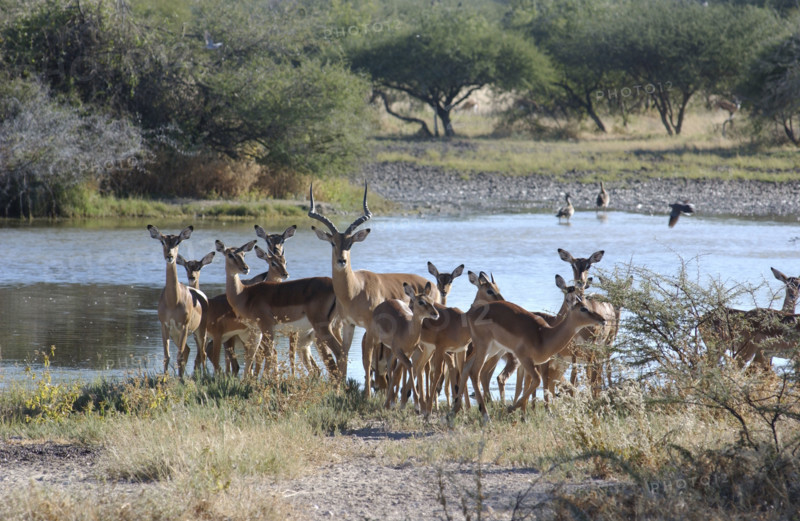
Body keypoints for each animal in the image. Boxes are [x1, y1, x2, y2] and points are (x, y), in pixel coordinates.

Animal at [147, 225, 209, 377]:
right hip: (176, 335)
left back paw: (204, 376)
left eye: (178, 242)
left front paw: (180, 380)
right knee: (187, 350)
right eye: (162, 241)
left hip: (200, 331)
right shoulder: (165, 326)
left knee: (202, 353)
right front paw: (165, 379)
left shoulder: (184, 327)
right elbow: (167, 356)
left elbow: (179, 356)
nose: (170, 256)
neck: (172, 301)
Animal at [215, 239, 342, 378]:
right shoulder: (256, 330)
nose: (245, 268)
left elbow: (268, 354)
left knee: (338, 353)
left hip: (321, 328)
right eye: (230, 254)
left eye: (243, 254)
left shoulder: (267, 327)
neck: (244, 295)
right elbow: (251, 355)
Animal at [308, 183, 440, 396]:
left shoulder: (369, 328)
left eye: (350, 243)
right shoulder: (349, 324)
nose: (341, 261)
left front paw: (368, 395)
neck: (353, 290)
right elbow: (343, 355)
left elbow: (368, 359)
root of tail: (433, 285)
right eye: (333, 242)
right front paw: (340, 391)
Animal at [451, 274, 607, 423]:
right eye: (583, 308)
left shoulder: (532, 363)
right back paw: (485, 416)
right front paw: (511, 409)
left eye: (587, 304)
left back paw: (453, 412)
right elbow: (537, 380)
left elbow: (527, 384)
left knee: (466, 367)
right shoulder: (525, 358)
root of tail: (470, 313)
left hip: (491, 349)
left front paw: (522, 416)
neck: (544, 336)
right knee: (475, 372)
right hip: (485, 348)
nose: (603, 320)